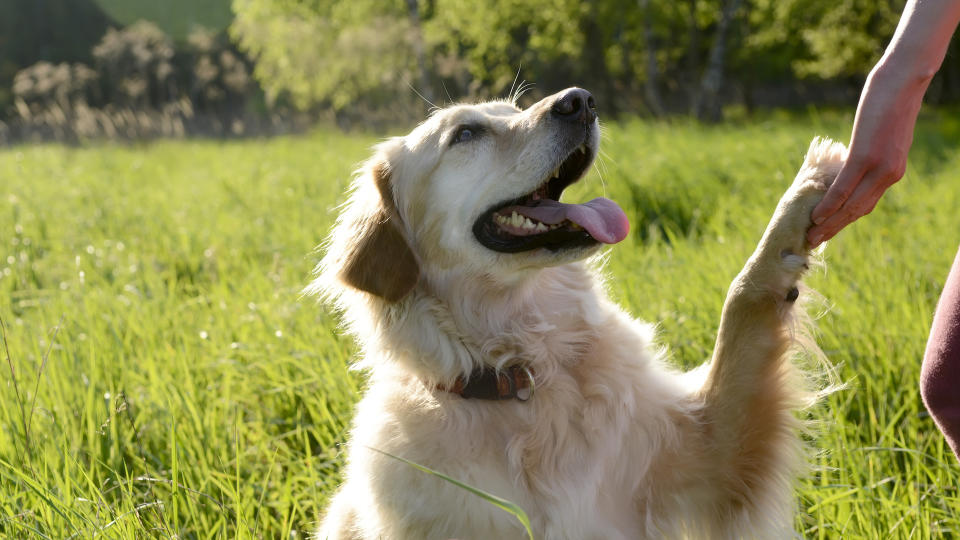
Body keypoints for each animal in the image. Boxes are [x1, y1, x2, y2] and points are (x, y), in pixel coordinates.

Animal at [312, 86, 844, 536]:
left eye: (512, 109)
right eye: (465, 134)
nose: (580, 100)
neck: (526, 373)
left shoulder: (710, 451)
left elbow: (742, 303)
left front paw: (808, 188)